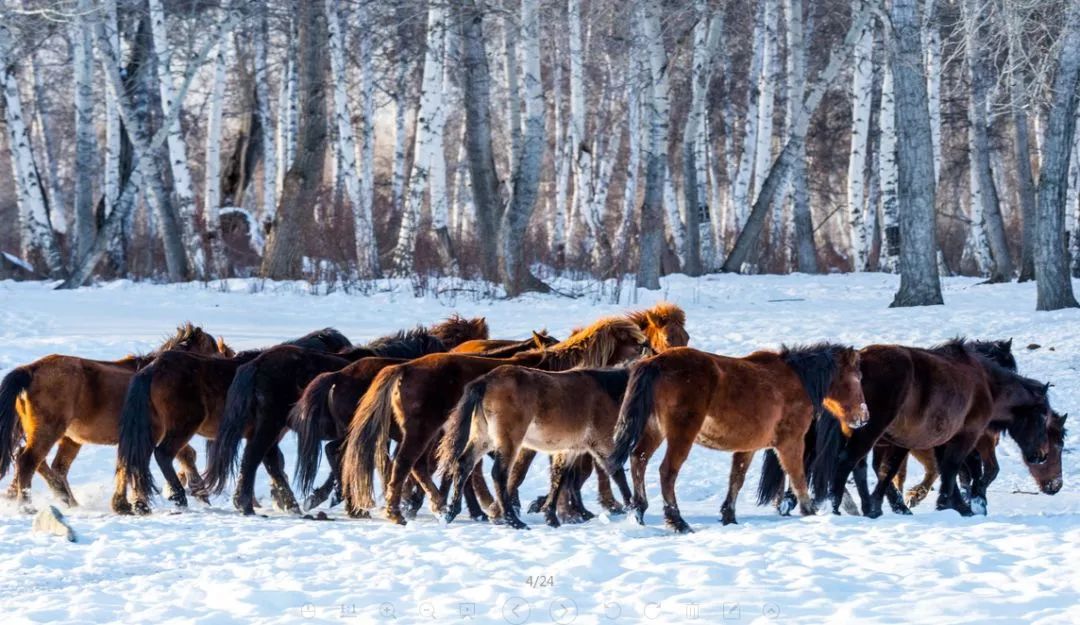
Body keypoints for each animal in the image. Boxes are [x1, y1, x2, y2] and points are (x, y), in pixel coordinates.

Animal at [0, 325, 227, 511]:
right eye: (215, 351)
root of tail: (30, 370)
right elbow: (178, 456)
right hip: (49, 431)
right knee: (28, 461)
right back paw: (26, 505)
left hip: (68, 437)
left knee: (51, 466)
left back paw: (61, 499)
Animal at [111, 328, 352, 513]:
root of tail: (152, 368)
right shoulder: (268, 431)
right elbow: (267, 463)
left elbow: (273, 465)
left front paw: (287, 503)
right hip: (183, 425)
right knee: (162, 454)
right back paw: (179, 496)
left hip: (155, 427)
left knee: (138, 459)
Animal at [203, 317, 490, 518]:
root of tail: (256, 363)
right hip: (270, 425)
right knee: (255, 457)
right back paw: (248, 505)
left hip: (272, 427)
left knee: (270, 460)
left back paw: (288, 504)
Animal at [343, 315, 648, 526]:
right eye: (635, 343)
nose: (648, 350)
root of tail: (402, 368)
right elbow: (520, 473)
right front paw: (511, 510)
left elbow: (561, 472)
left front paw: (563, 511)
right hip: (422, 430)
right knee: (406, 464)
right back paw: (401, 512)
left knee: (425, 467)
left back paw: (443, 506)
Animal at [609, 343, 868, 533]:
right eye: (856, 377)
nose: (864, 417)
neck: (796, 380)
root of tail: (655, 362)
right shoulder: (790, 442)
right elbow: (798, 477)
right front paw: (809, 511)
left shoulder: (748, 447)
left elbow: (737, 479)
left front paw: (729, 516)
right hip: (681, 435)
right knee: (667, 472)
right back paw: (677, 522)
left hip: (654, 431)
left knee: (639, 459)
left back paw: (639, 511)